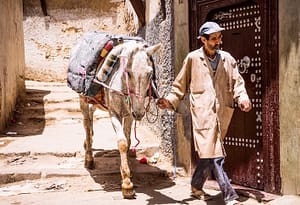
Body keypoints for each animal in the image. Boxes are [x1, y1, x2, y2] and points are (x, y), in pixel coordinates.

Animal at [78, 39, 161, 199]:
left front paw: (127, 172)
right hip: (83, 98)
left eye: (150, 73)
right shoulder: (114, 113)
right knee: (86, 123)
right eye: (128, 72)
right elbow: (122, 143)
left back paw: (88, 142)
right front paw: (127, 185)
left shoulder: (129, 115)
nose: (139, 113)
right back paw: (89, 158)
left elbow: (128, 141)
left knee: (91, 116)